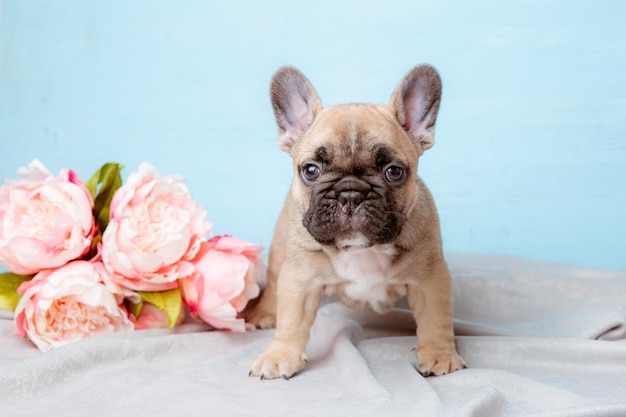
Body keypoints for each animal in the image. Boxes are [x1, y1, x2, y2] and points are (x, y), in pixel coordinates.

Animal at [246, 63, 466, 378]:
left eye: (394, 172)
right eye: (310, 170)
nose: (350, 193)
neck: (363, 251)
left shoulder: (430, 278)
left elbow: (436, 318)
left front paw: (439, 355)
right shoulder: (299, 280)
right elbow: (291, 321)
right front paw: (279, 356)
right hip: (279, 250)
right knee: (274, 280)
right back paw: (264, 312)